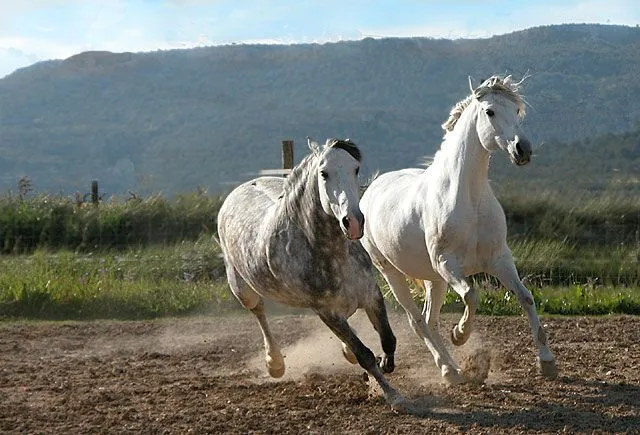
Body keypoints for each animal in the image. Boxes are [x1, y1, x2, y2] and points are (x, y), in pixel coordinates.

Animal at [218, 137, 412, 412]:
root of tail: (241, 189)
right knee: (259, 312)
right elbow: (364, 354)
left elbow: (387, 339)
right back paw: (275, 363)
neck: (331, 253)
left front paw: (384, 364)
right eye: (324, 173)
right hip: (242, 288)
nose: (353, 222)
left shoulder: (371, 295)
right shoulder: (327, 312)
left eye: (355, 169)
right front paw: (395, 396)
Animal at [362, 75, 556, 384]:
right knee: (417, 321)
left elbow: (526, 297)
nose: (522, 149)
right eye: (490, 111)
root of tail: (371, 189)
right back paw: (449, 370)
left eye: (517, 110)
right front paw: (460, 335)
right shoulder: (447, 264)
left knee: (430, 320)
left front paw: (547, 363)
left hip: (434, 279)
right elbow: (471, 295)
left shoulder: (499, 259)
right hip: (393, 273)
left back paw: (453, 367)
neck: (469, 197)